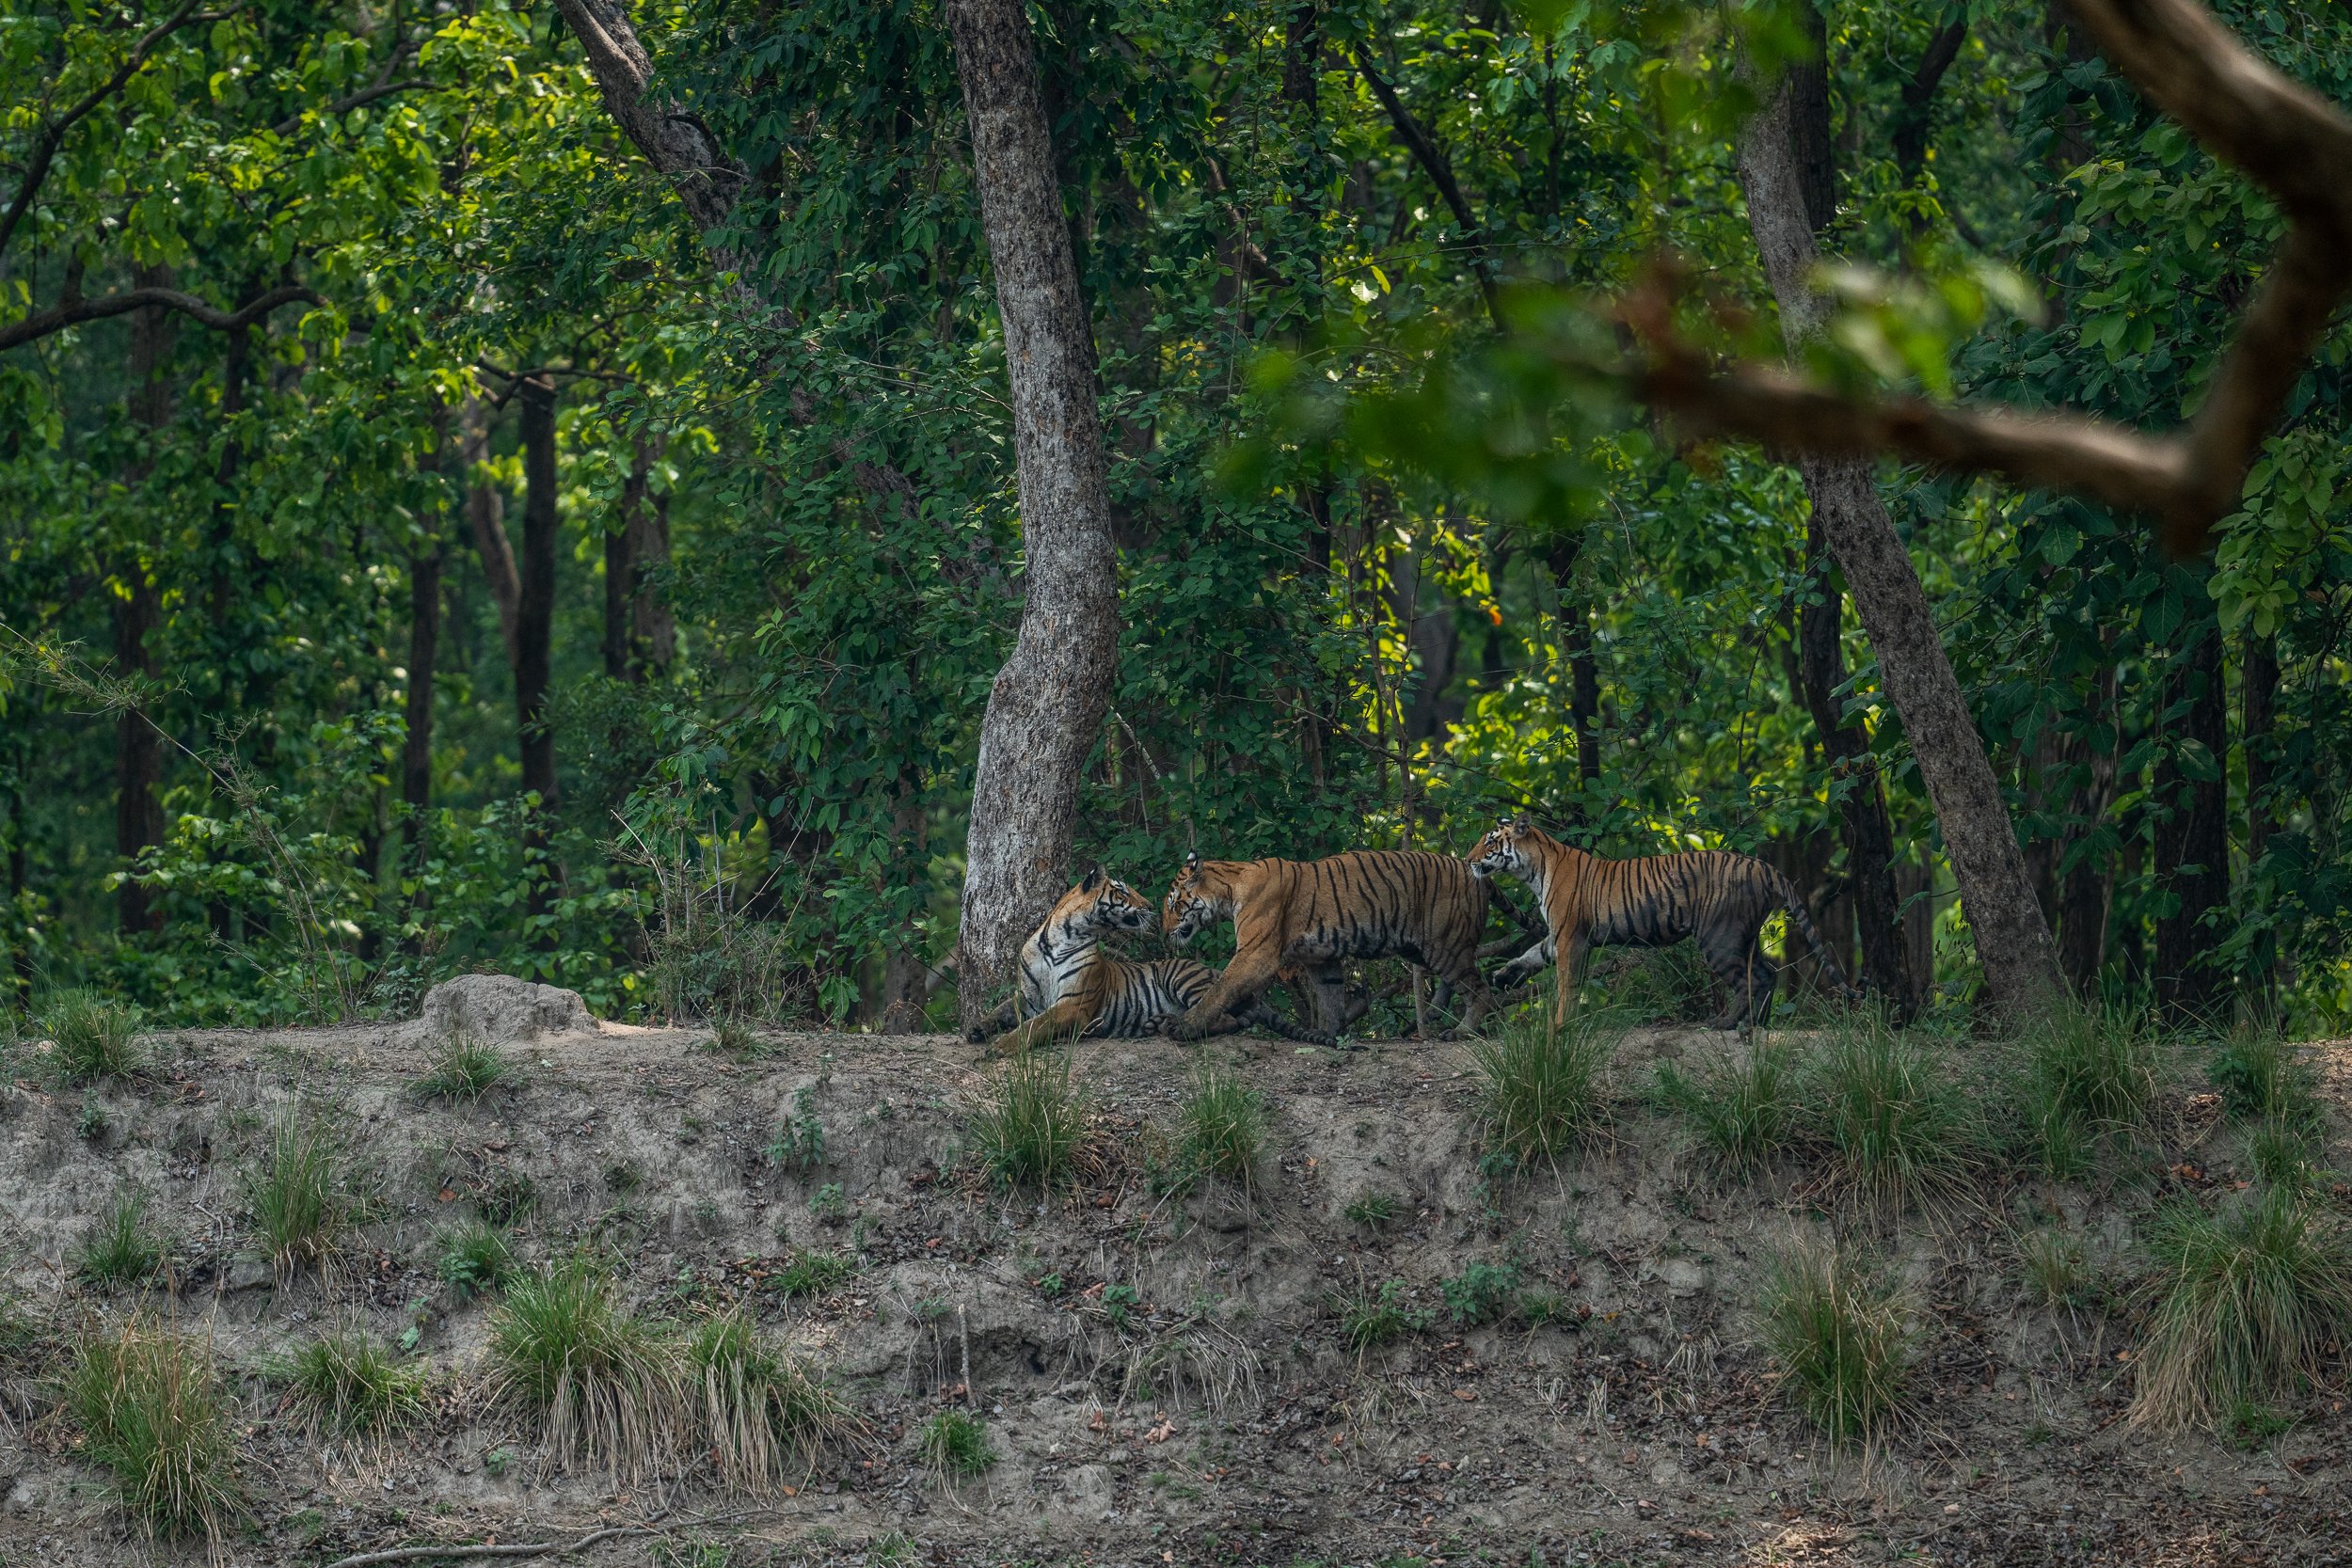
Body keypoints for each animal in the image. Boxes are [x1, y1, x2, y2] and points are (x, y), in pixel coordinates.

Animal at [965, 869, 1327, 1055]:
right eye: (1122, 891)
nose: (1151, 905)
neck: (1062, 936)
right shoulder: (1028, 996)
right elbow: (1002, 1011)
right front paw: (977, 1028)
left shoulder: (1073, 1004)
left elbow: (1034, 1027)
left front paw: (1000, 1046)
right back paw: (1157, 1024)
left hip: (1183, 978)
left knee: (1225, 1017)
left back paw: (1174, 1027)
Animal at [1159, 848, 1496, 1043]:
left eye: (1173, 904)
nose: (1163, 932)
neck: (1228, 890)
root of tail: (1470, 868)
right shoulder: (1321, 960)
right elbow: (1331, 999)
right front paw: (1327, 1035)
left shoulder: (1256, 954)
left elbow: (1221, 990)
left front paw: (1186, 1027)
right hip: (1420, 948)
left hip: (1445, 946)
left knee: (1481, 991)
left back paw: (1461, 1031)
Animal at [1466, 817, 1859, 1030]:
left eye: (1490, 843)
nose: (1467, 860)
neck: (1532, 869)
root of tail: (1762, 865)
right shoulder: (1560, 936)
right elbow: (1534, 953)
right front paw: (1505, 974)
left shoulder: (1569, 935)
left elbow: (1567, 984)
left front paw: (1561, 1025)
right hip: (1743, 936)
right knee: (1767, 972)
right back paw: (1755, 1024)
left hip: (1719, 938)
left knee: (1754, 978)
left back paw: (1725, 1023)